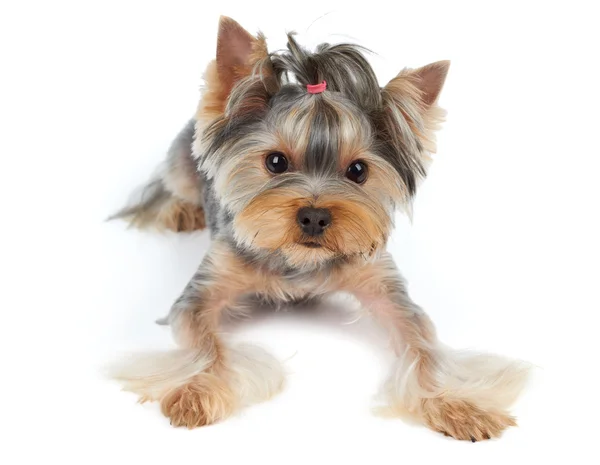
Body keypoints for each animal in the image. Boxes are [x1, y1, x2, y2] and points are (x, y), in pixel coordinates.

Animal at [109, 16, 528, 440]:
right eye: (275, 162)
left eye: (358, 170)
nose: (314, 216)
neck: (298, 260)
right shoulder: (207, 284)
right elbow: (202, 341)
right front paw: (197, 391)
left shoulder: (380, 279)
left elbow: (424, 344)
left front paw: (457, 403)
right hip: (182, 162)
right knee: (174, 183)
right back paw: (181, 211)